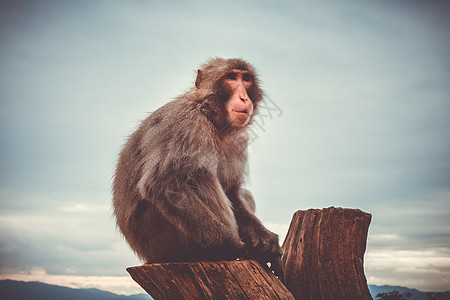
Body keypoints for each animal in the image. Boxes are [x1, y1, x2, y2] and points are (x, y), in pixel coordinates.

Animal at [112, 57, 282, 278]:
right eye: (231, 77)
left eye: (246, 79)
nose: (244, 98)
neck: (210, 116)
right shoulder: (186, 125)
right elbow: (162, 184)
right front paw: (234, 247)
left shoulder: (238, 141)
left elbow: (232, 191)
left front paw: (266, 238)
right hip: (162, 240)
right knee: (198, 173)